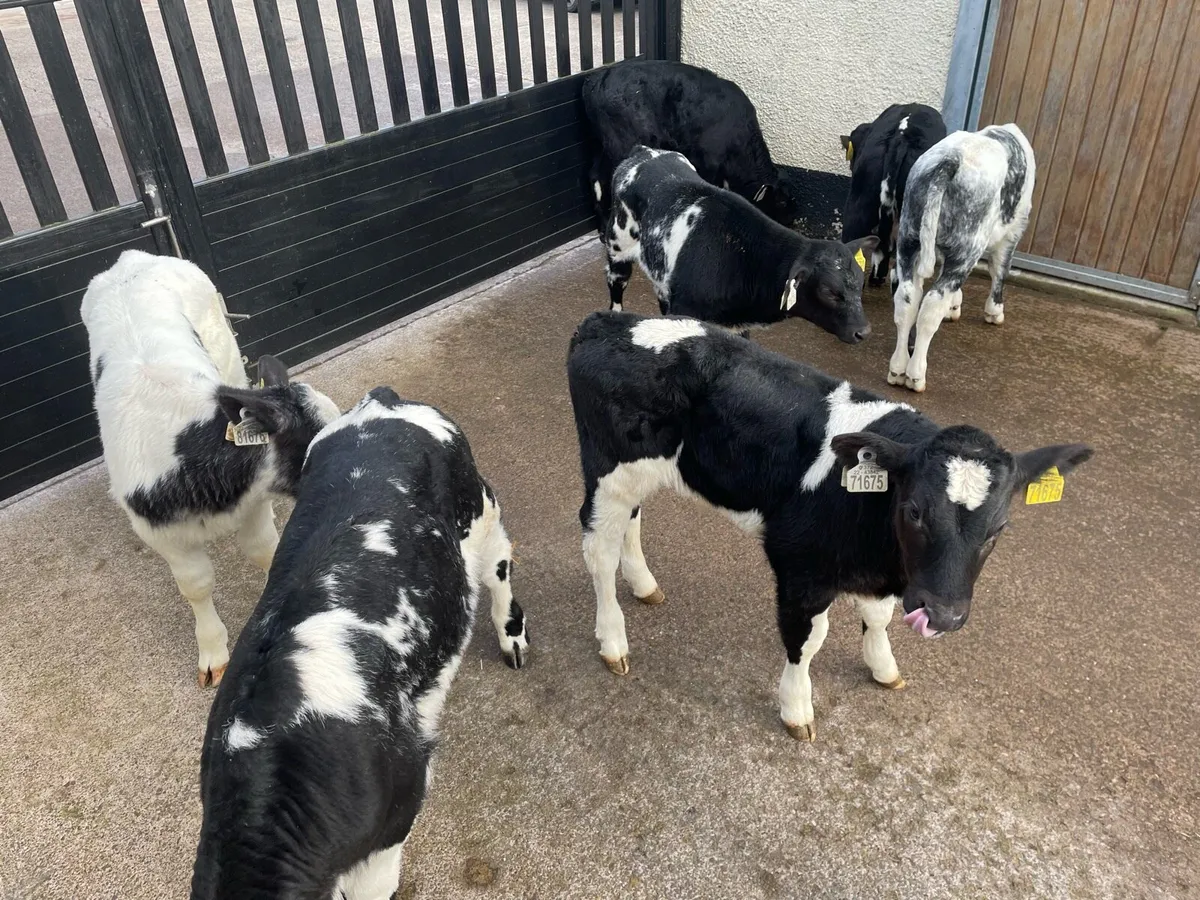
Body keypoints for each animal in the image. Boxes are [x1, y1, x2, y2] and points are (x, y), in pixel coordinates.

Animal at [81, 249, 341, 687]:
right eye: (319, 444)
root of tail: (132, 257)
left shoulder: (254, 502)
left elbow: (264, 550)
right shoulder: (162, 533)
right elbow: (197, 585)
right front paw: (213, 652)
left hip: (229, 357)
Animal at [567, 311, 1091, 741]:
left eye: (999, 528)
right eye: (915, 511)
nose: (943, 615)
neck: (880, 554)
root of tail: (603, 322)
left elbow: (877, 618)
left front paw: (884, 666)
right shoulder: (800, 565)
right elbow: (807, 640)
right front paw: (797, 709)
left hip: (638, 474)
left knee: (631, 522)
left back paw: (643, 584)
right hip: (607, 469)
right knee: (598, 549)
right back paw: (613, 640)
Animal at [582, 59, 799, 228]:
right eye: (781, 202)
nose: (791, 220)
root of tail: (599, 77)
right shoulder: (706, 161)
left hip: (603, 144)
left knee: (596, 176)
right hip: (623, 142)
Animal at [604, 146, 877, 344]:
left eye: (859, 284)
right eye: (829, 291)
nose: (863, 332)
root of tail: (643, 153)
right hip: (617, 253)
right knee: (616, 296)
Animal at [888, 124, 1035, 393]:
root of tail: (950, 160)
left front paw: (954, 305)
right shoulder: (1014, 230)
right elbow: (1000, 269)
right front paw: (994, 311)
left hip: (908, 236)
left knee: (907, 298)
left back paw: (898, 368)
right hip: (967, 247)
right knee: (931, 306)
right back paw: (915, 374)